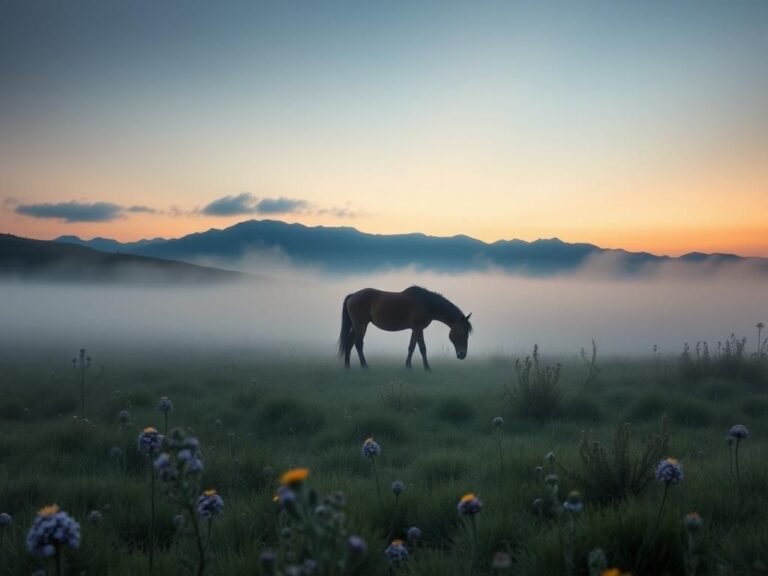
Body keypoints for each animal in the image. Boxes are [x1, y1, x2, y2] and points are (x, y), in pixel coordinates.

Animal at [337, 286, 472, 369]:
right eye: (462, 333)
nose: (462, 354)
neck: (427, 303)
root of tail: (353, 296)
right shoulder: (418, 327)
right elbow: (420, 347)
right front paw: (425, 368)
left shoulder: (417, 329)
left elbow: (414, 347)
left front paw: (411, 366)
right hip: (361, 324)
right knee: (358, 344)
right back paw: (365, 367)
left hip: (357, 326)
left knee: (349, 342)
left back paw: (347, 367)